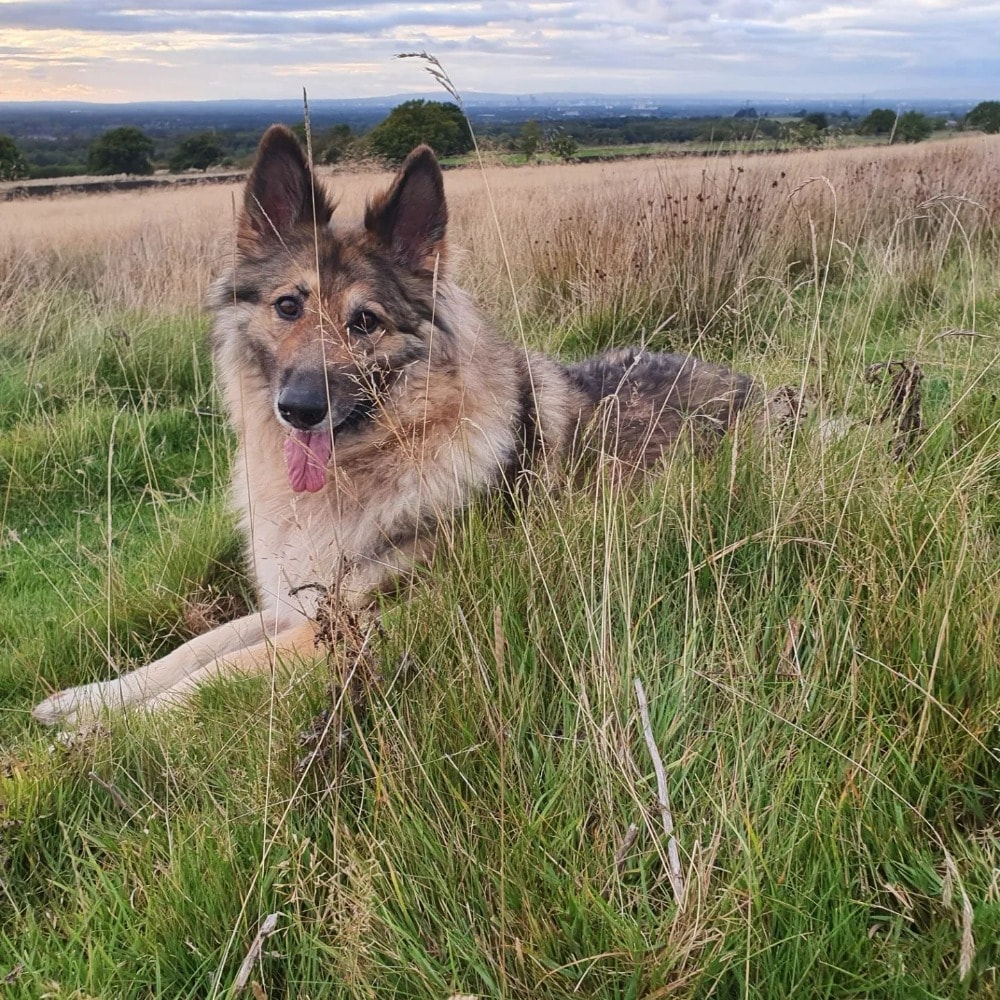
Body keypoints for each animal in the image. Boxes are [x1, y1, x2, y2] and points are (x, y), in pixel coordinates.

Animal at [33, 124, 774, 726]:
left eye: (365, 322)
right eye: (288, 306)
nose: (299, 408)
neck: (377, 458)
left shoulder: (350, 624)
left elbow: (215, 673)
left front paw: (104, 734)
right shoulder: (295, 603)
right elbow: (191, 648)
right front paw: (89, 698)